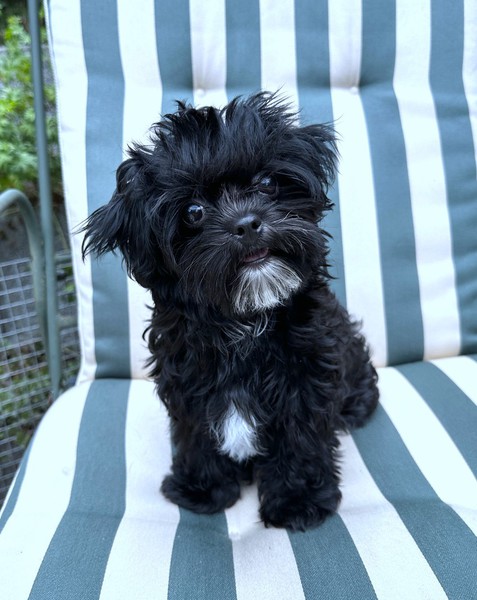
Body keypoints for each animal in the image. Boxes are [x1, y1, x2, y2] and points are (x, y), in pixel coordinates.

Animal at [81, 92, 379, 531]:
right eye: (193, 212)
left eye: (268, 183)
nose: (247, 223)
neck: (246, 321)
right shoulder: (186, 379)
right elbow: (197, 434)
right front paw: (202, 489)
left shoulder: (307, 374)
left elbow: (301, 436)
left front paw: (298, 500)